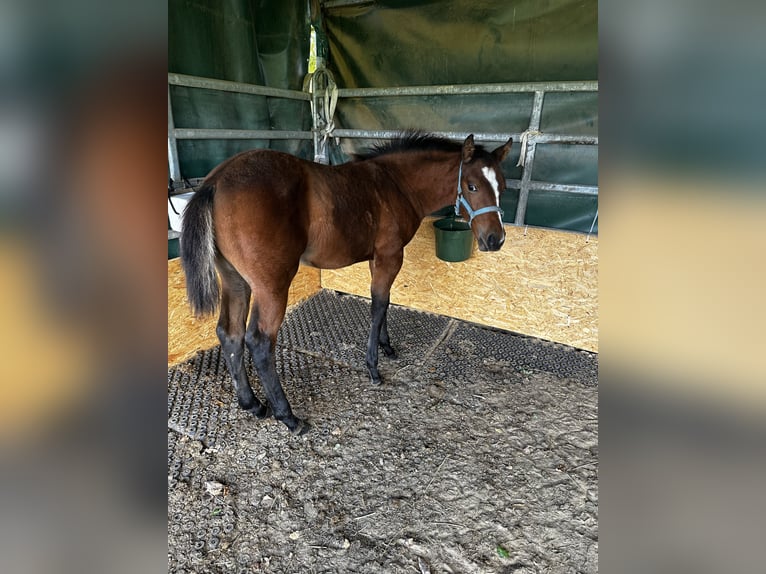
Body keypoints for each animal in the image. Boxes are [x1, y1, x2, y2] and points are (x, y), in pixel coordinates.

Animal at [182, 132, 512, 436]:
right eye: (472, 186)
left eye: (503, 187)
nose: (495, 240)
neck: (396, 184)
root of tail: (217, 181)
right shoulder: (390, 256)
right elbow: (378, 305)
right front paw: (373, 368)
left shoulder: (378, 258)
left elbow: (384, 301)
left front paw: (386, 346)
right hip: (271, 287)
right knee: (259, 342)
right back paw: (288, 416)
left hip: (235, 282)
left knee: (230, 334)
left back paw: (252, 404)